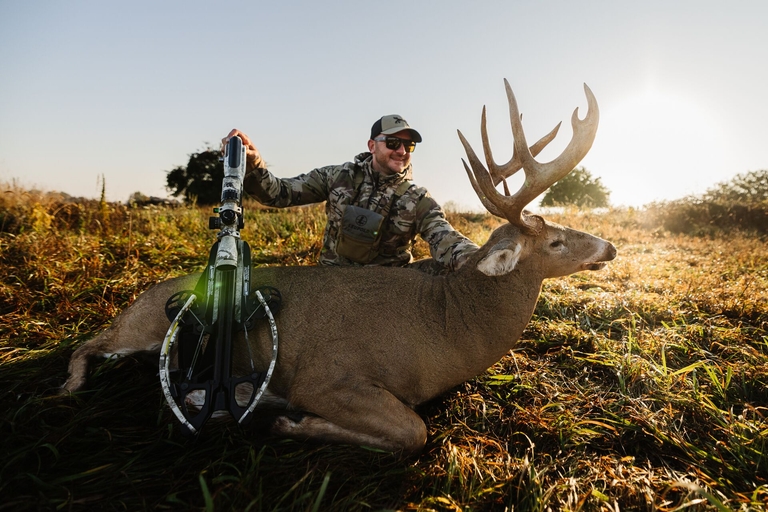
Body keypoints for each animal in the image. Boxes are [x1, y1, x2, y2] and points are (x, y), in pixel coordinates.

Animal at [62, 80, 616, 455]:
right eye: (557, 242)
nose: (609, 247)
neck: (445, 329)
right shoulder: (326, 377)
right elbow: (414, 432)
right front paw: (289, 422)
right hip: (145, 323)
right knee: (87, 343)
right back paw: (72, 390)